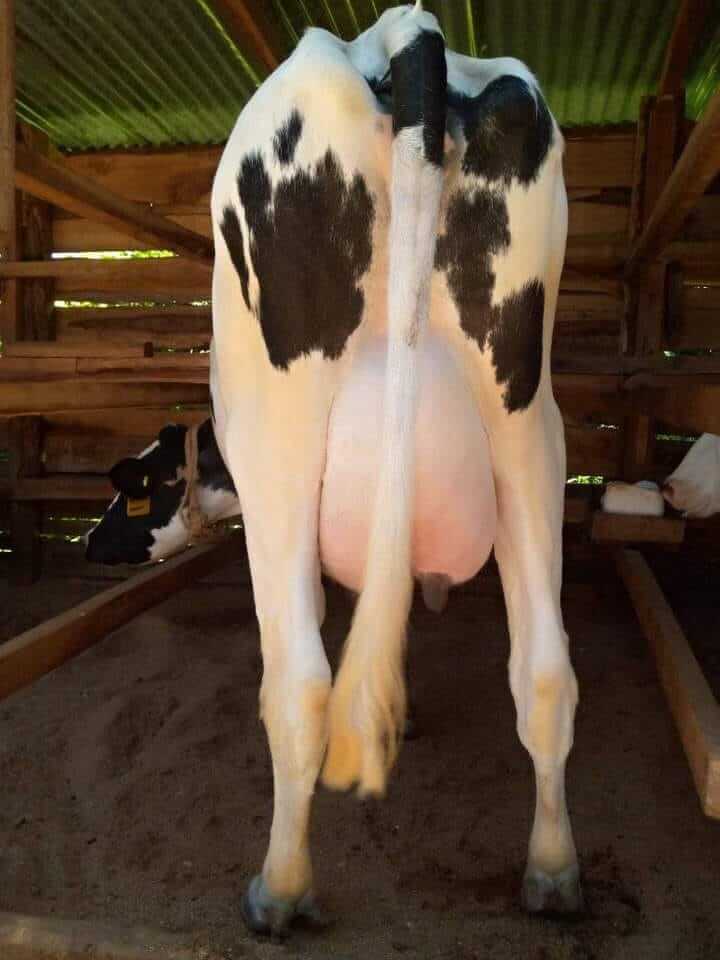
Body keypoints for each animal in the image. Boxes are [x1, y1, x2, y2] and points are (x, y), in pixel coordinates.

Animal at [206, 1, 579, 936]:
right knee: (545, 668)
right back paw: (553, 869)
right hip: (528, 428)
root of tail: (403, 31)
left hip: (277, 443)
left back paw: (281, 887)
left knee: (300, 683)